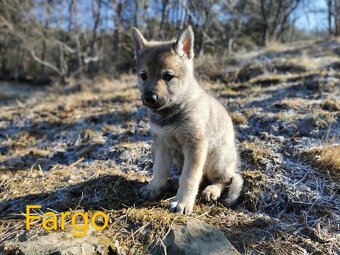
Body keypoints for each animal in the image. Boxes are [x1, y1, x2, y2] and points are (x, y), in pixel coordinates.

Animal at [131, 25, 243, 214]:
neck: (171, 113)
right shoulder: (161, 143)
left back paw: (211, 190)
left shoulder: (195, 146)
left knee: (224, 180)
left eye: (168, 76)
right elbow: (159, 170)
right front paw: (154, 187)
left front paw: (182, 202)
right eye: (143, 75)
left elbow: (189, 177)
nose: (149, 98)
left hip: (216, 160)